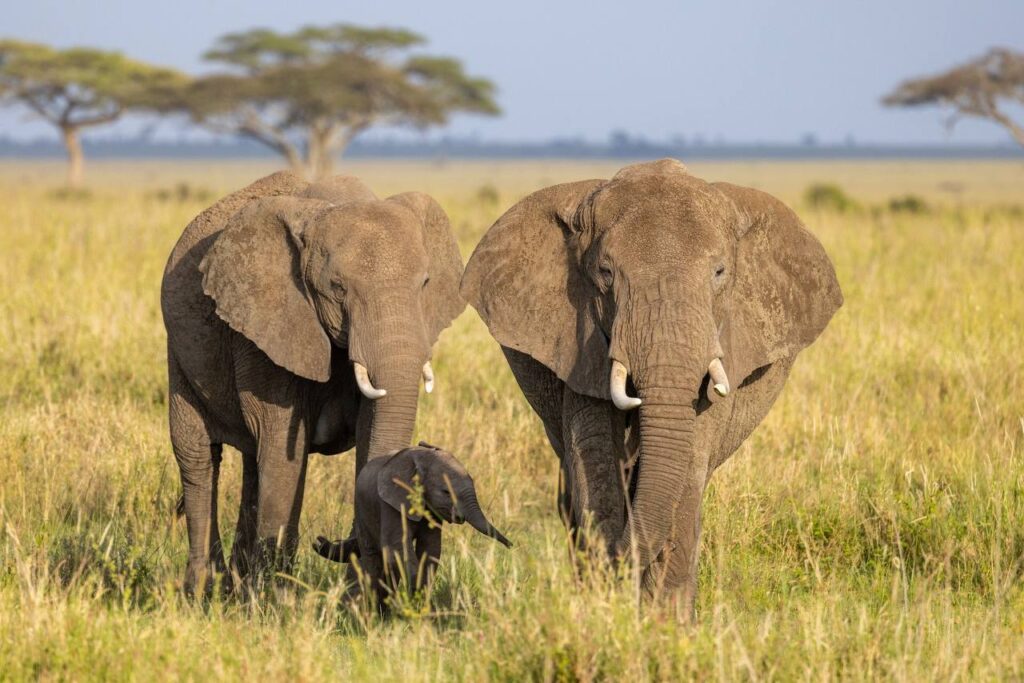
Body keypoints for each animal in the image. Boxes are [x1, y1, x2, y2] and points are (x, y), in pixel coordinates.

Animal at [162, 169, 464, 593]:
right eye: (337, 288)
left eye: (424, 284)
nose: (326, 542)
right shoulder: (267, 327)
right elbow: (283, 446)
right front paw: (275, 599)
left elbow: (370, 428)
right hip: (179, 354)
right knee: (199, 460)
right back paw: (205, 591)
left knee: (253, 463)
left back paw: (235, 585)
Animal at [311, 440, 512, 606]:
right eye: (446, 492)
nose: (512, 545)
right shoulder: (391, 504)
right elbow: (397, 549)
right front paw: (417, 600)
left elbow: (430, 549)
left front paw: (420, 601)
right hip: (362, 510)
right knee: (375, 558)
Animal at [462, 157, 839, 618]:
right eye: (605, 273)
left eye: (720, 273)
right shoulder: (580, 343)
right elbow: (594, 462)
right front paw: (605, 607)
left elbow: (689, 463)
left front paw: (666, 621)